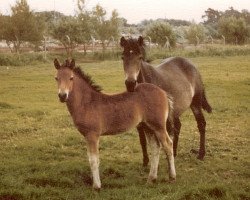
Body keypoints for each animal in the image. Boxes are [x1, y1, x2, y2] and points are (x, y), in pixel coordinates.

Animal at [53, 58, 174, 190]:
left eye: (71, 78)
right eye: (56, 78)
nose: (62, 96)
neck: (87, 103)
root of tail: (163, 92)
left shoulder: (92, 135)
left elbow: (94, 160)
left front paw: (96, 186)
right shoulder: (87, 136)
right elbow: (91, 158)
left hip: (159, 126)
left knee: (168, 145)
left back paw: (172, 177)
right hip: (147, 126)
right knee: (155, 148)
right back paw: (151, 179)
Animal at [120, 36, 212, 166]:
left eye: (140, 57)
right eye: (123, 57)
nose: (130, 83)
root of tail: (192, 65)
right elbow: (142, 140)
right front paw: (145, 162)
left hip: (195, 104)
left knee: (201, 124)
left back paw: (201, 154)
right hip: (176, 110)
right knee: (178, 126)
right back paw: (174, 153)